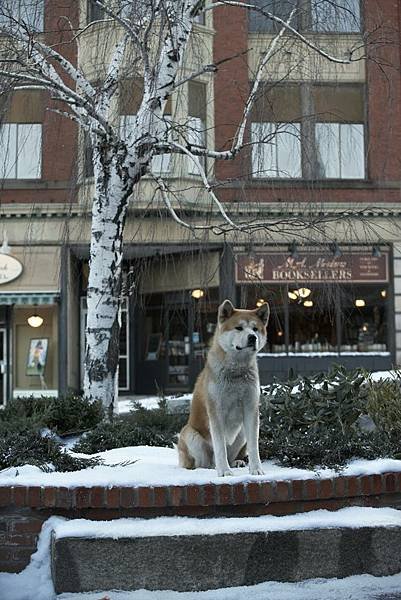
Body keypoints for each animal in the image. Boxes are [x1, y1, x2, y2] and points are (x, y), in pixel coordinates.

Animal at [177, 300, 268, 478]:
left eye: (255, 329)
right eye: (239, 328)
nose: (252, 337)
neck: (236, 373)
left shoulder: (251, 409)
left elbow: (254, 447)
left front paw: (256, 469)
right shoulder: (216, 411)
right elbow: (220, 447)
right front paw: (224, 471)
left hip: (241, 434)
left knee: (232, 454)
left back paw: (237, 462)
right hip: (191, 435)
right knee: (204, 462)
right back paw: (211, 468)